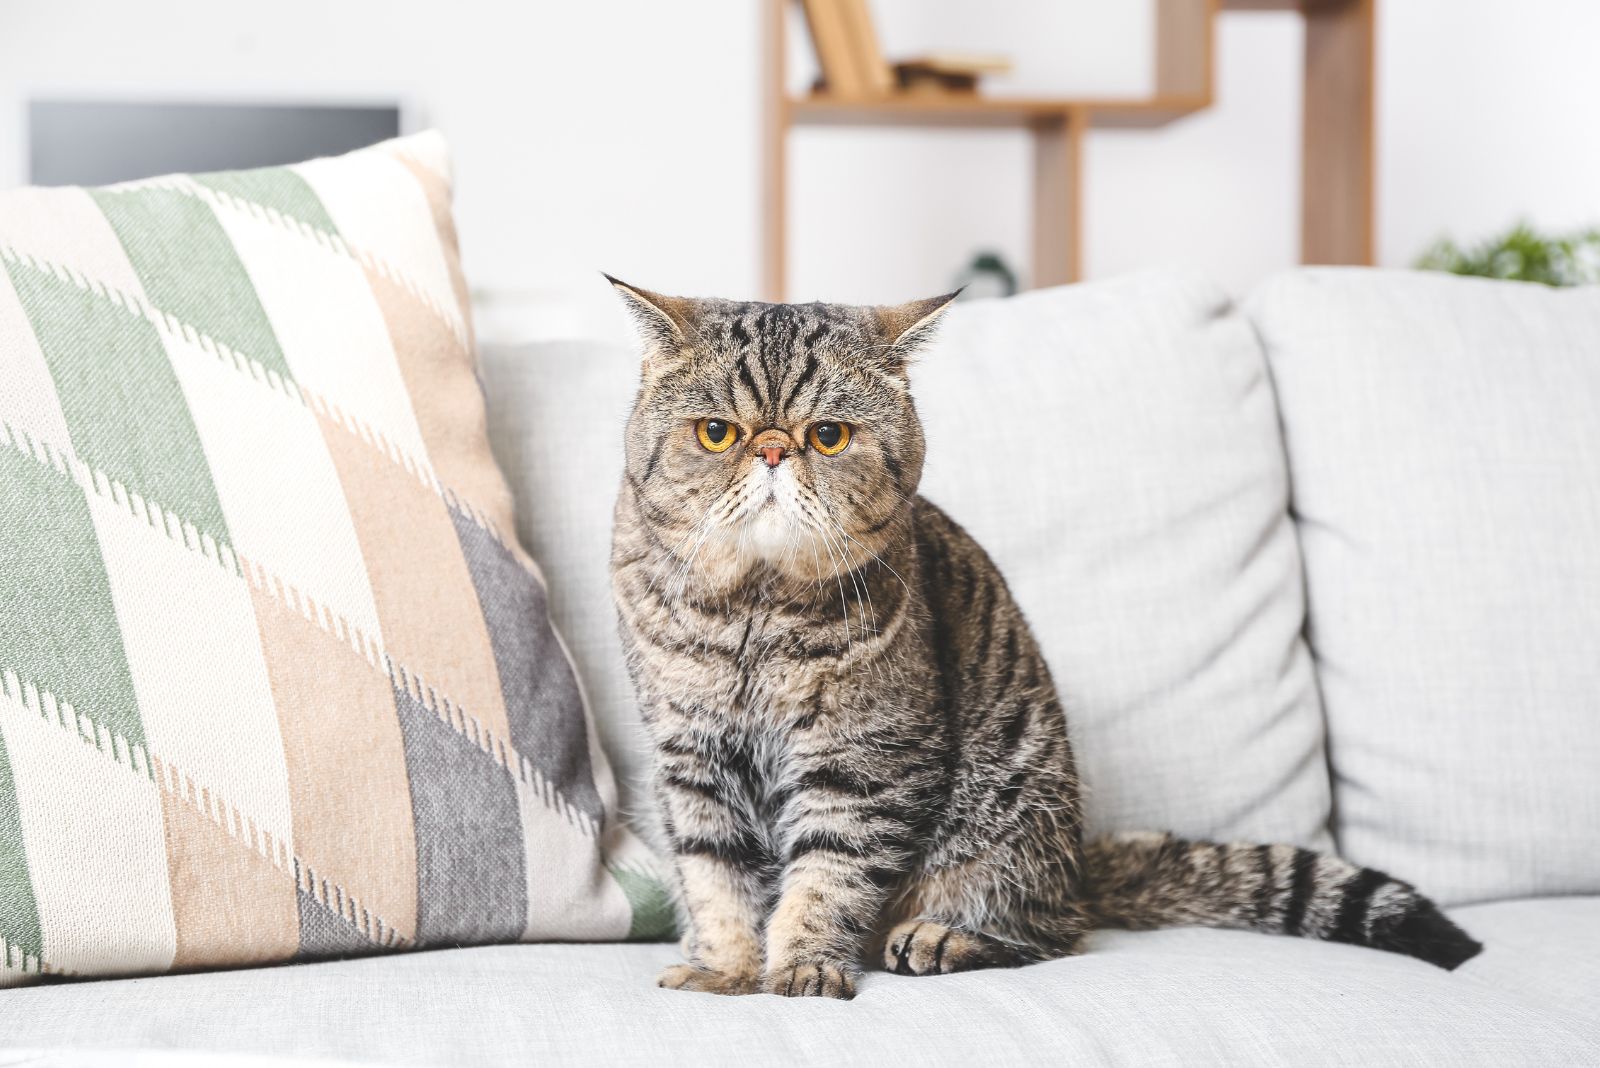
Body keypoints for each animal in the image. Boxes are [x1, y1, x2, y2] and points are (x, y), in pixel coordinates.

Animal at [604, 279, 1478, 997]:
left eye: (828, 436)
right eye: (718, 433)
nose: (774, 449)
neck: (753, 612)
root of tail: (1080, 863)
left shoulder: (866, 764)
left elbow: (825, 880)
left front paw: (802, 967)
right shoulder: (691, 759)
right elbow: (714, 879)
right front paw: (725, 967)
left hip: (1010, 817)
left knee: (1049, 932)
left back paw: (940, 938)